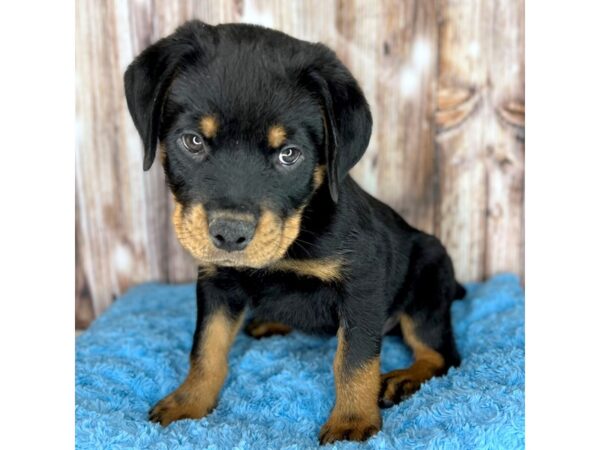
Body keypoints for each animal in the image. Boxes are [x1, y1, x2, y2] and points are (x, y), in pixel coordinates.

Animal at [124, 20, 466, 442]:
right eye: (193, 141)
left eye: (289, 154)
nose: (229, 234)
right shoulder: (216, 282)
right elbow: (206, 347)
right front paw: (189, 401)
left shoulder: (363, 283)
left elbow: (353, 360)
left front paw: (352, 421)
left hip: (427, 282)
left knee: (441, 354)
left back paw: (403, 379)